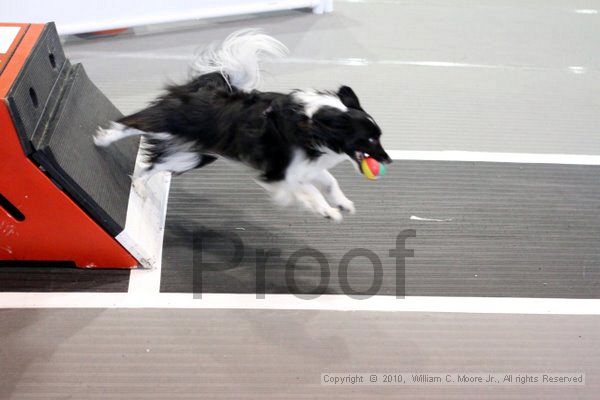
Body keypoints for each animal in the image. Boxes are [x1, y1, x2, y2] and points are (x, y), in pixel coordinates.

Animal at [94, 28, 392, 222]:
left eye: (378, 138)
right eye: (370, 140)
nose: (387, 159)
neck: (312, 123)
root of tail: (212, 84)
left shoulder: (305, 167)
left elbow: (329, 182)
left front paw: (343, 204)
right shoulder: (280, 174)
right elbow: (308, 190)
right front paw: (326, 211)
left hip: (193, 155)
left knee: (152, 165)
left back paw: (139, 185)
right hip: (170, 123)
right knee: (131, 123)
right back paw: (103, 139)